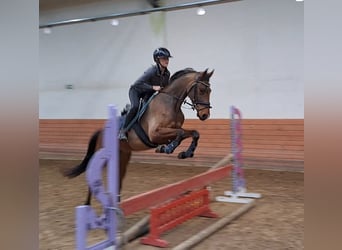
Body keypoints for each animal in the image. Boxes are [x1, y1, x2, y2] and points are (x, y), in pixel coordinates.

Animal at [62, 67, 212, 205]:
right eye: (201, 90)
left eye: (210, 91)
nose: (205, 115)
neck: (171, 103)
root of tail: (101, 131)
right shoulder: (155, 134)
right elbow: (180, 134)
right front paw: (167, 148)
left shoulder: (173, 130)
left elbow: (193, 133)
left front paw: (185, 153)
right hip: (103, 156)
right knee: (93, 175)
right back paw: (87, 204)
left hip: (122, 156)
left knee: (118, 178)